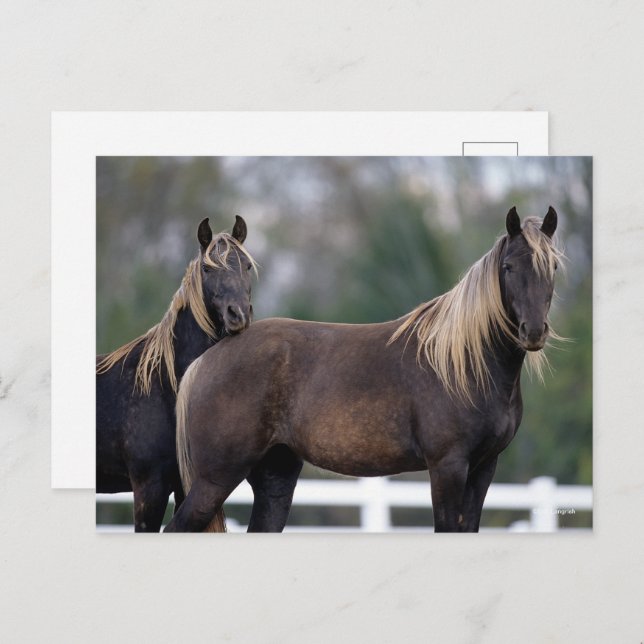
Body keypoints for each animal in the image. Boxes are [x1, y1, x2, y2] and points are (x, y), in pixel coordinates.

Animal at [96, 216, 257, 532]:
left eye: (245, 265)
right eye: (207, 268)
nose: (238, 314)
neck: (163, 387)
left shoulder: (185, 486)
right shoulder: (149, 488)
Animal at [164, 207, 563, 533]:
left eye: (553, 268)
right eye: (508, 267)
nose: (533, 331)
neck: (462, 362)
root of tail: (208, 359)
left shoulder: (484, 468)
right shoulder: (448, 467)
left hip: (274, 478)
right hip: (215, 480)